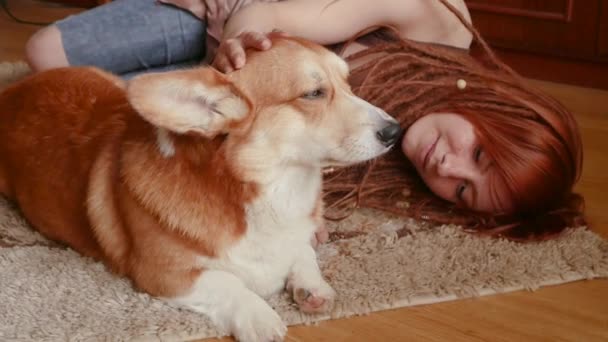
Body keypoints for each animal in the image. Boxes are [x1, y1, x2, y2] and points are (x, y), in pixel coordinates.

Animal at [0, 36, 402, 340]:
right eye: (314, 93)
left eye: (348, 83)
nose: (396, 131)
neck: (269, 188)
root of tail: (13, 90)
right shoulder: (165, 275)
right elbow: (227, 284)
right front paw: (262, 319)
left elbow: (302, 251)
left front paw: (311, 286)